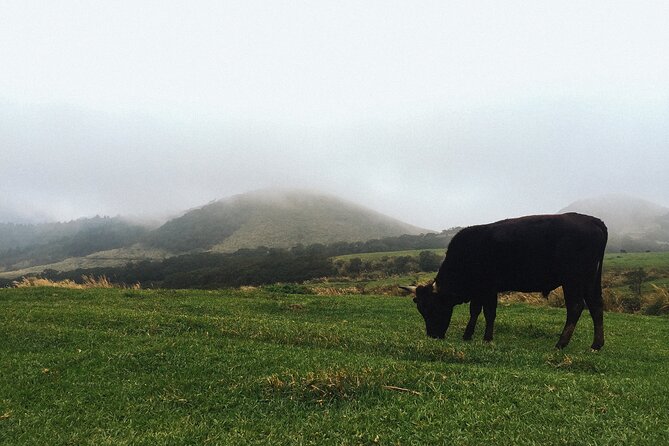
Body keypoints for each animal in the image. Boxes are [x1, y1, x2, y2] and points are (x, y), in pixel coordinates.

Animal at [401, 213, 608, 350]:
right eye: (421, 309)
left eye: (433, 307)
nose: (433, 336)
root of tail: (593, 220)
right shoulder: (480, 290)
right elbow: (477, 311)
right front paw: (470, 335)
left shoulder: (487, 288)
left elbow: (487, 312)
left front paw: (484, 337)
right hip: (589, 280)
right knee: (596, 306)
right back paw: (596, 345)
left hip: (573, 279)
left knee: (576, 307)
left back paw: (561, 343)